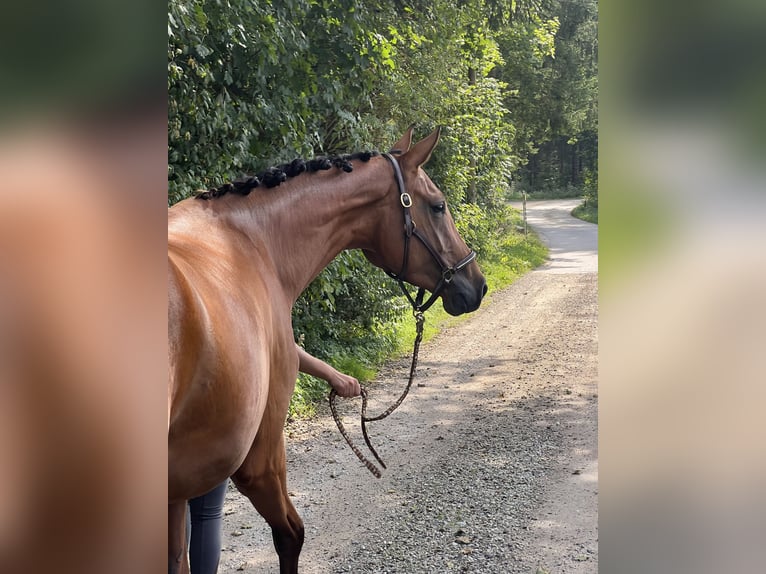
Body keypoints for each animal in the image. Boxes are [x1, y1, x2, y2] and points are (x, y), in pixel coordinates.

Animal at [171, 128, 488, 572]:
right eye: (438, 205)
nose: (478, 285)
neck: (253, 244)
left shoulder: (179, 489)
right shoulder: (260, 456)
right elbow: (291, 534)